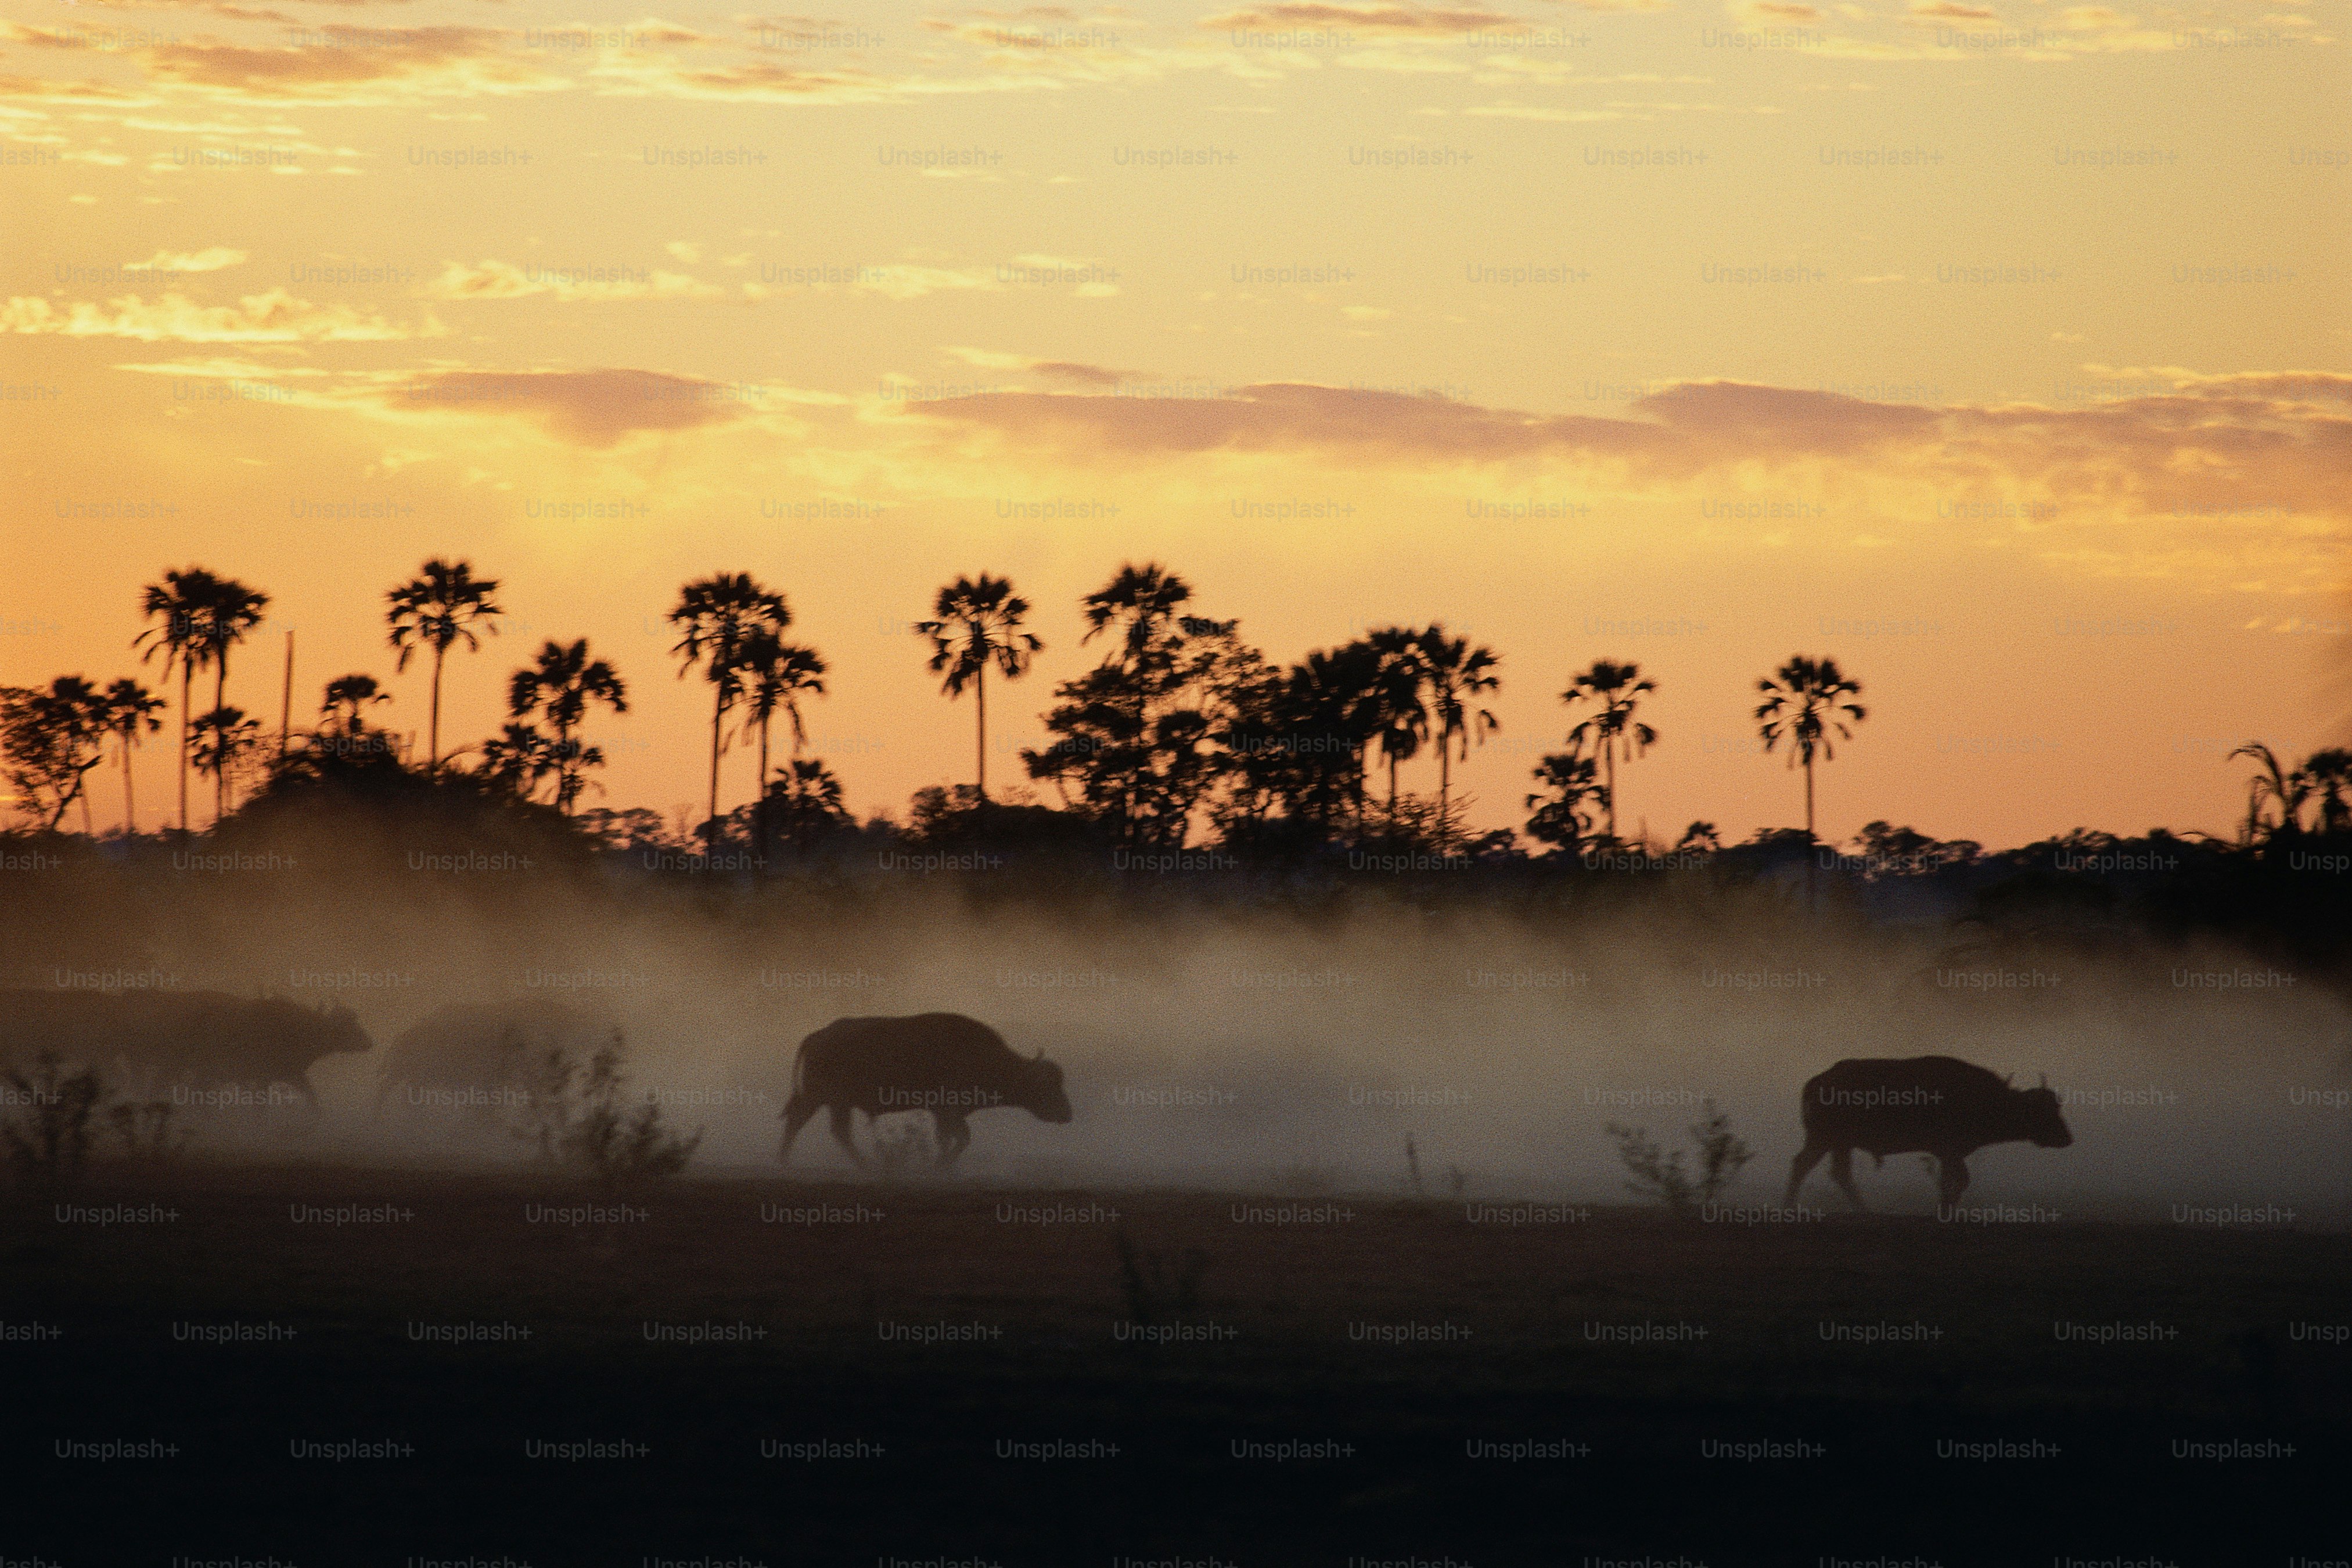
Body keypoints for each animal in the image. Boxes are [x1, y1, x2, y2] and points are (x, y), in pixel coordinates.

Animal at [781, 1013, 1072, 1170]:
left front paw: (941, 1165)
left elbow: (957, 1138)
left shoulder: (948, 1114)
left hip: (830, 1102)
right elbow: (956, 1139)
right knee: (812, 1124)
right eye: (1045, 1084)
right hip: (827, 1099)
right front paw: (939, 1166)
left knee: (819, 1126)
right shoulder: (947, 1110)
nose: (1067, 1114)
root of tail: (820, 1034)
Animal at [1785, 1054, 2073, 1210]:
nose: (2066, 1138)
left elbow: (1956, 1180)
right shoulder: (1949, 1151)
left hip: (1835, 1144)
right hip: (1827, 1140)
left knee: (1831, 1172)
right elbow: (1956, 1180)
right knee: (1810, 1168)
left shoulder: (1950, 1154)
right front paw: (1945, 1209)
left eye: (2056, 1107)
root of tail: (1818, 1081)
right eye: (2039, 1111)